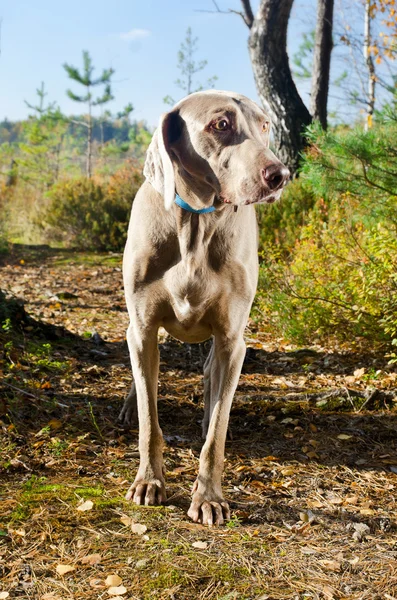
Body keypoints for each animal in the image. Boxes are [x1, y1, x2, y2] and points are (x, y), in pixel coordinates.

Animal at [119, 90, 290, 524]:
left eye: (265, 124)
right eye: (221, 125)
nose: (280, 175)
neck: (194, 224)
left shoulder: (232, 338)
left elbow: (217, 432)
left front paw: (209, 497)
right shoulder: (143, 328)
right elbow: (150, 419)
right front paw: (149, 481)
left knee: (212, 375)